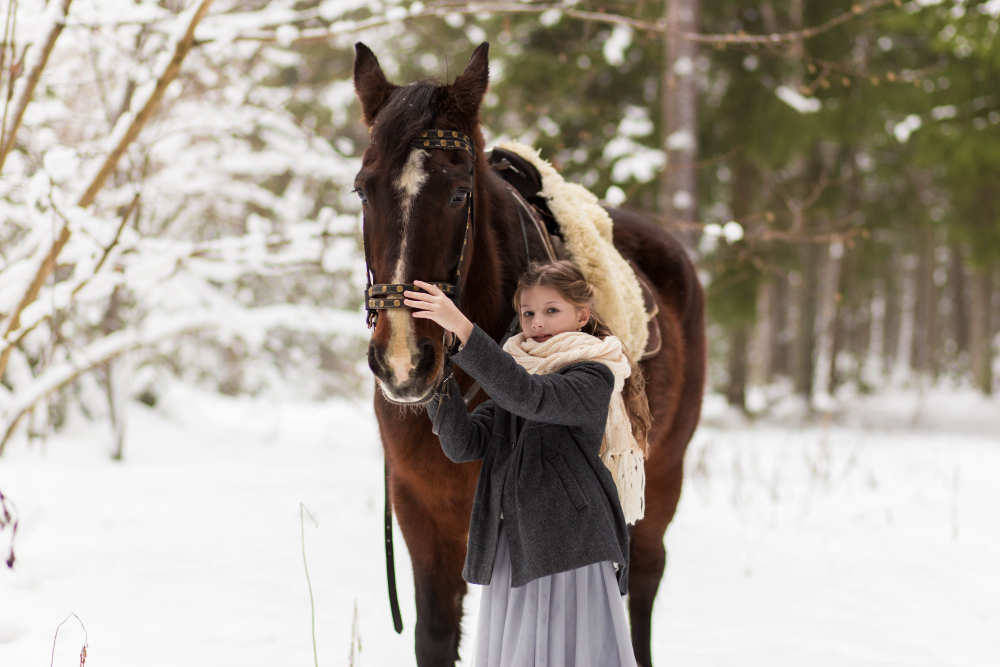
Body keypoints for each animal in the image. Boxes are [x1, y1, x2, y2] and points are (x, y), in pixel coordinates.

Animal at [353, 41, 705, 667]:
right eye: (363, 190)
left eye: (459, 192)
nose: (402, 361)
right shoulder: (423, 515)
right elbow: (435, 635)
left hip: (665, 472)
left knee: (641, 584)